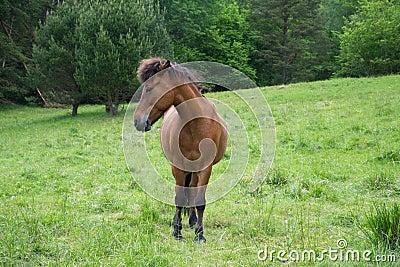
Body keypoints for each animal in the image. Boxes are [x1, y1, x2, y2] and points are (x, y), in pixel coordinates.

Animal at [134, 58, 228, 243]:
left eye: (149, 88)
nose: (137, 121)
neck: (196, 124)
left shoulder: (206, 168)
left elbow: (200, 200)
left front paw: (199, 234)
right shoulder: (178, 167)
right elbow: (179, 198)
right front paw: (177, 231)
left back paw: (193, 221)